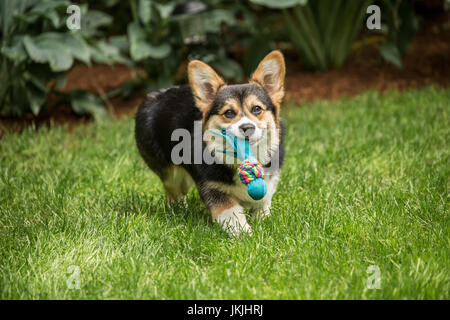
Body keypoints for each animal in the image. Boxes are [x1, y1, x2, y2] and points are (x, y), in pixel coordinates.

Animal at [135, 50, 286, 235]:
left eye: (257, 109)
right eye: (229, 113)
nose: (247, 127)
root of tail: (154, 95)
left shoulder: (269, 184)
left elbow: (264, 203)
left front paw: (262, 220)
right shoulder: (213, 188)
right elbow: (231, 212)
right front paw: (244, 233)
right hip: (171, 173)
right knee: (173, 190)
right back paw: (177, 209)